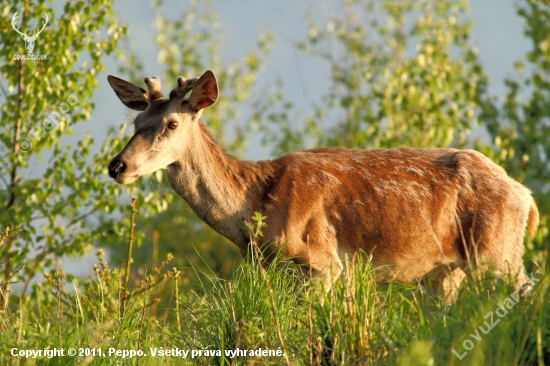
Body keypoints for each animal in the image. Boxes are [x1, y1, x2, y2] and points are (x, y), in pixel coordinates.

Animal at [106, 70, 540, 302]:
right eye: (136, 122)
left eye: (171, 123)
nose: (117, 165)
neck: (254, 208)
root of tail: (527, 196)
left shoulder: (323, 261)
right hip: (447, 271)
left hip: (497, 251)